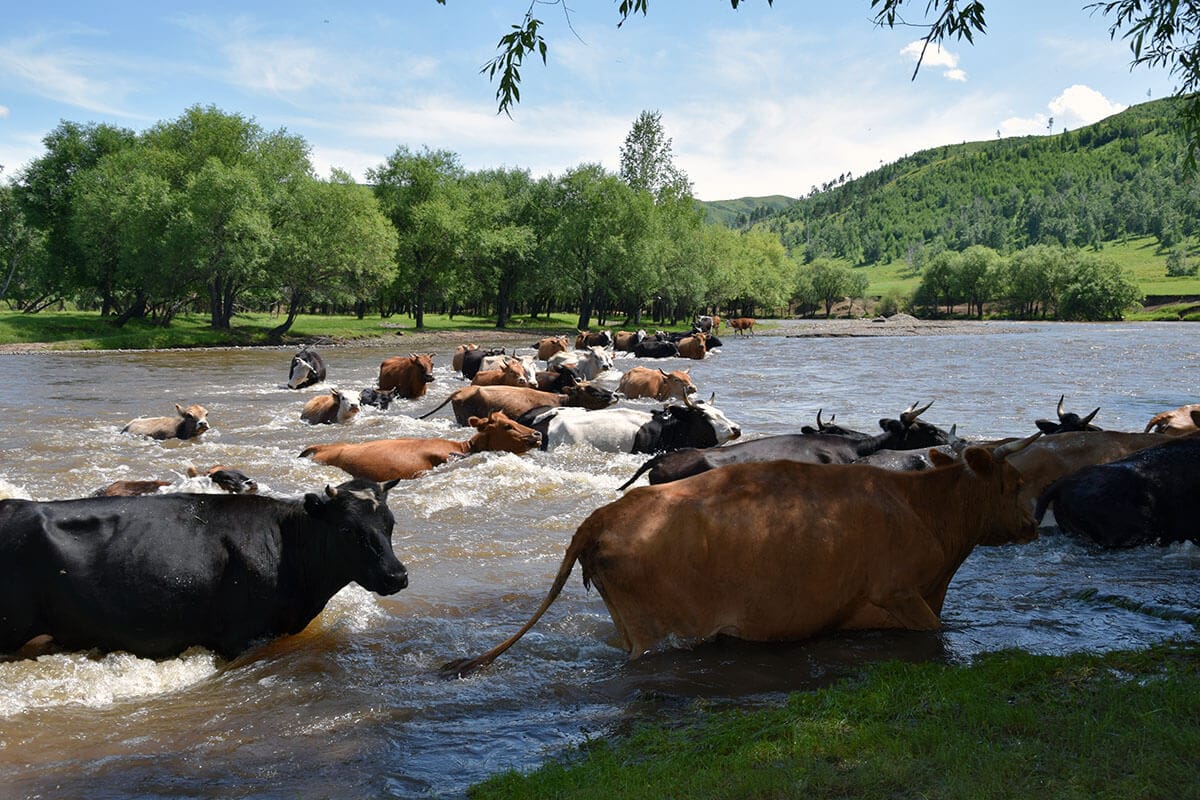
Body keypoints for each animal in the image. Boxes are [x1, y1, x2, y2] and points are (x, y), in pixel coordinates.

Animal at [442, 433, 1042, 674]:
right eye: (1014, 483)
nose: (1035, 524)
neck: (926, 506)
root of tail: (601, 516)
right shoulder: (901, 592)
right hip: (655, 629)